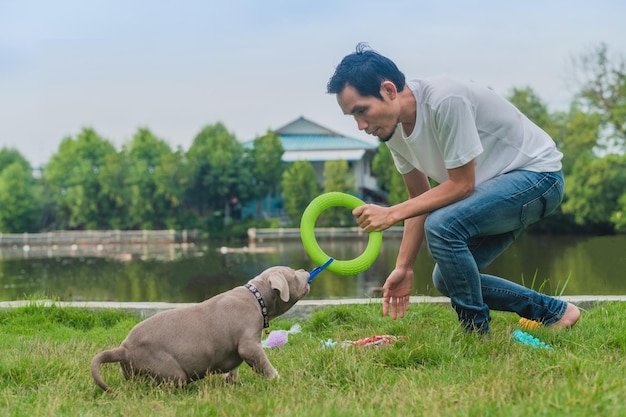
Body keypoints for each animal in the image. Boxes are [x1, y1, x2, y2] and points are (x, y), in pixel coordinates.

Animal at [91, 266, 310, 390]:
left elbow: (234, 366)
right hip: (167, 369)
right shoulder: (248, 344)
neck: (257, 298)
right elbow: (261, 362)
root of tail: (123, 349)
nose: (305, 271)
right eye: (293, 274)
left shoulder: (236, 347)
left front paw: (230, 381)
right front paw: (278, 379)